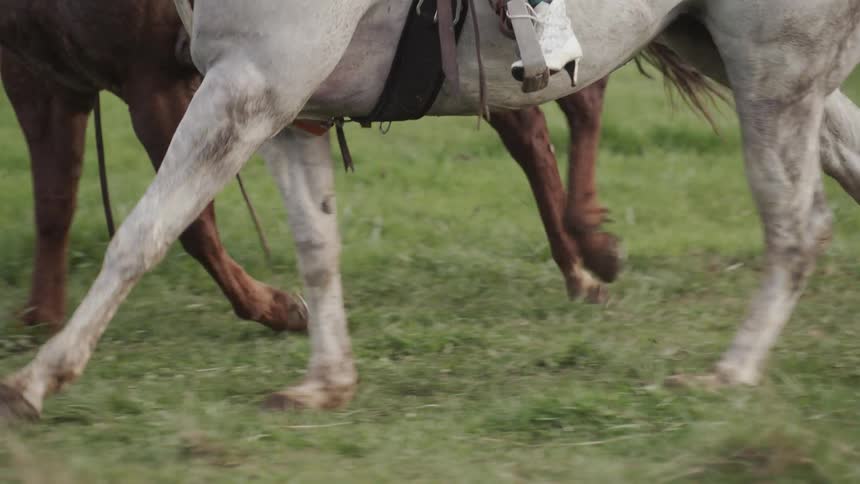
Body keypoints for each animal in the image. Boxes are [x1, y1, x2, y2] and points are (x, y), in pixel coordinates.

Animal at [4, 0, 858, 419]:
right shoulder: (282, 109)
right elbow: (316, 247)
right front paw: (326, 380)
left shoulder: (245, 86)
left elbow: (146, 232)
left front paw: (40, 378)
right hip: (731, 53)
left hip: (773, 67)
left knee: (798, 225)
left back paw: (730, 372)